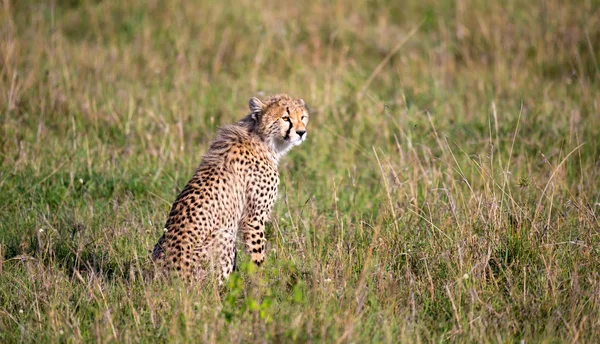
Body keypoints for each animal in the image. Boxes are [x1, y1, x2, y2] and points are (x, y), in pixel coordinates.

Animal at [152, 93, 310, 282]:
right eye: (285, 118)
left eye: (303, 117)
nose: (301, 133)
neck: (263, 140)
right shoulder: (253, 218)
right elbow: (257, 255)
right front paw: (261, 282)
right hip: (223, 235)